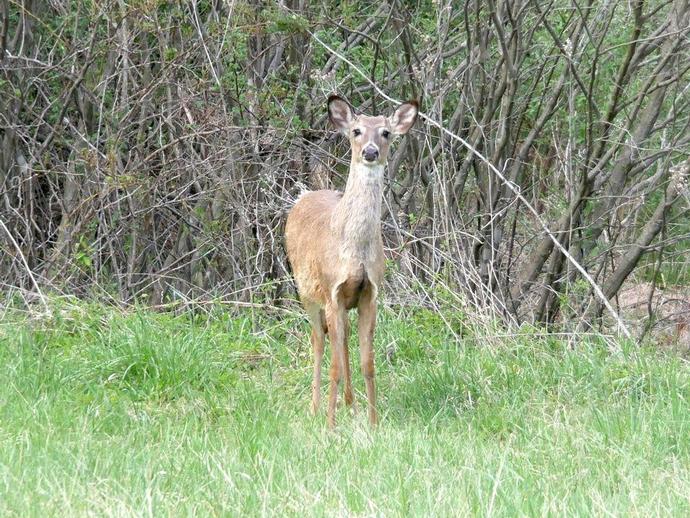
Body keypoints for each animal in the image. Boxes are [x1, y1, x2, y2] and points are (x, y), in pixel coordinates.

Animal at [284, 95, 416, 428]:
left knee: (341, 343)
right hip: (307, 292)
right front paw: (330, 427)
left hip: (342, 304)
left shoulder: (369, 292)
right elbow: (333, 364)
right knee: (319, 341)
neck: (355, 251)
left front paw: (373, 423)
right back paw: (316, 408)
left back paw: (350, 406)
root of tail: (304, 196)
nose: (369, 152)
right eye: (356, 131)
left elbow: (367, 362)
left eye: (385, 132)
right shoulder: (331, 289)